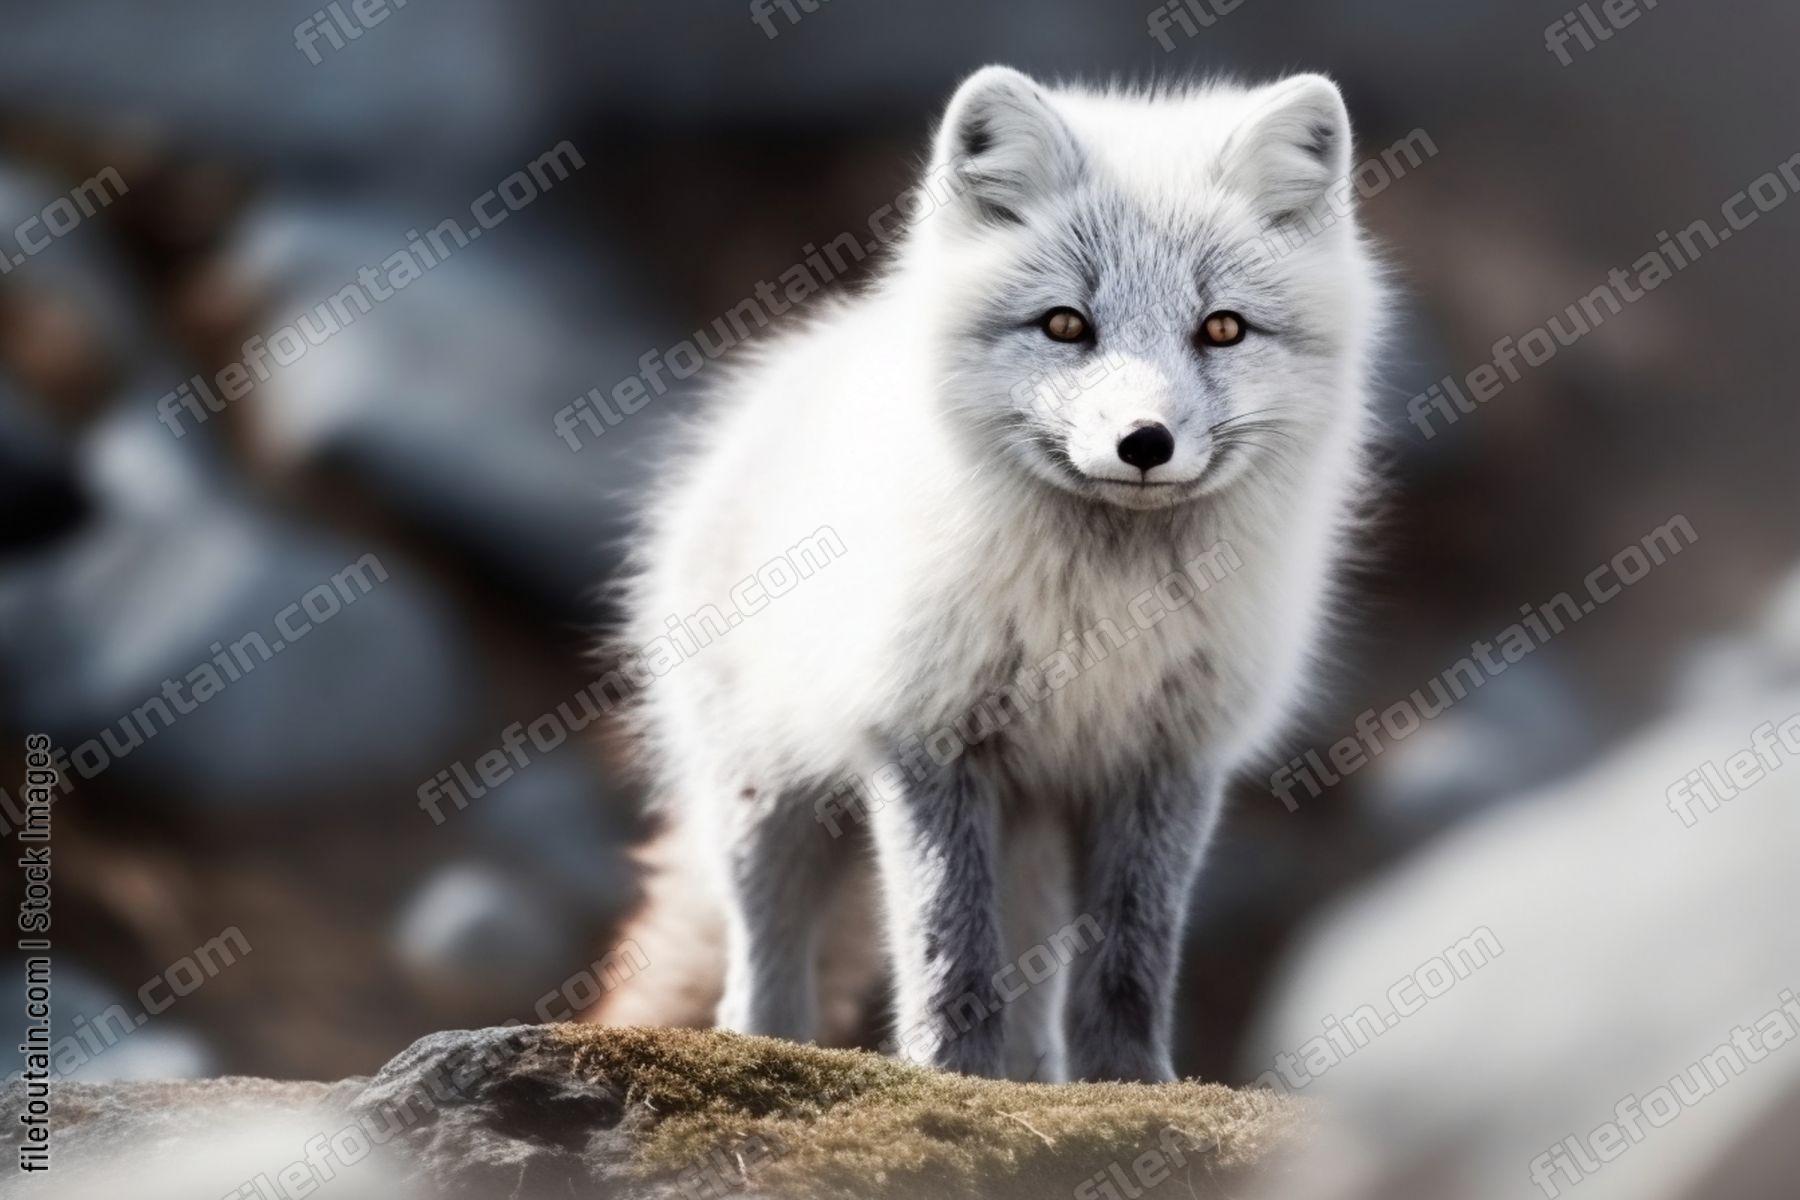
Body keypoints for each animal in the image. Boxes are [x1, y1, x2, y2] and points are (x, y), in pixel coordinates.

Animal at [591, 66, 1384, 1083]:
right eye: (1066, 324)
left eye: (1222, 329)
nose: (1144, 443)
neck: (1101, 607)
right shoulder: (925, 736)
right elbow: (948, 942)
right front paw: (951, 1074)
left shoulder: (1167, 759)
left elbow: (1133, 958)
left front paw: (1129, 1085)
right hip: (769, 800)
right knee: (760, 965)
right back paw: (771, 1046)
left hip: (1037, 823)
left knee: (1039, 986)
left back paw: (1040, 1079)